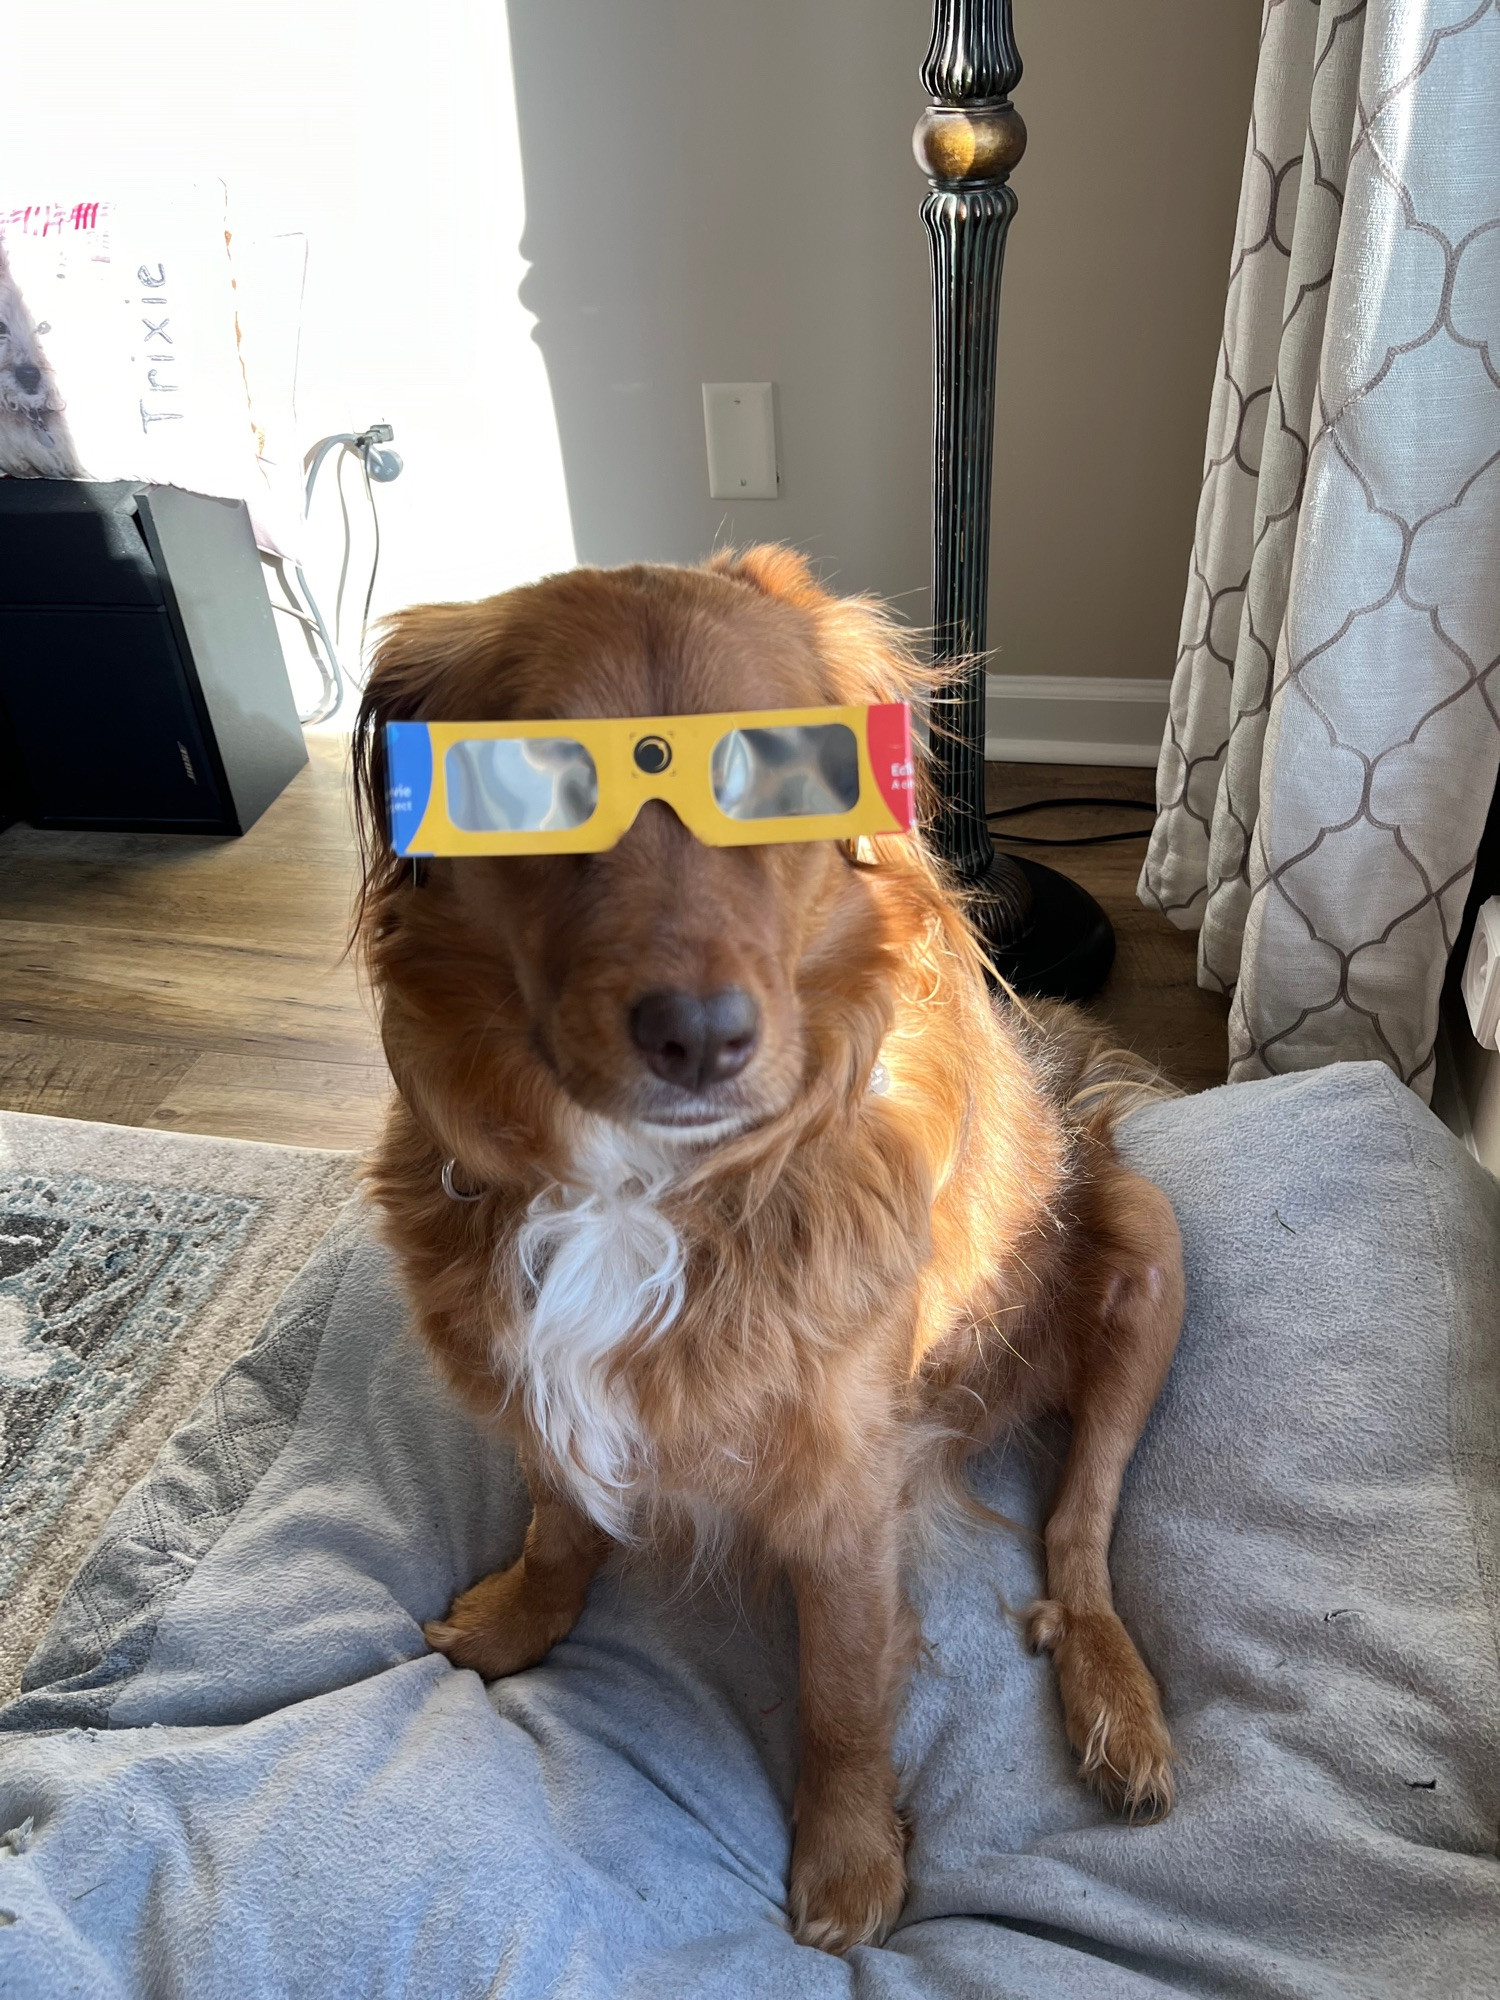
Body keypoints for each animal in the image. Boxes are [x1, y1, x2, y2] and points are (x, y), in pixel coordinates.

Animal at [352, 544, 1184, 1952]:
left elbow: (844, 1690)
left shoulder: (847, 1484)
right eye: (535, 785)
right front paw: (521, 1617)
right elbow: (561, 1518)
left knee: (1079, 1533)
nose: (700, 1036)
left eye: (783, 775)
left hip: (1148, 1256)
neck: (641, 1187)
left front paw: (848, 1859)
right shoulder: (540, 1387)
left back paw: (1117, 1699)